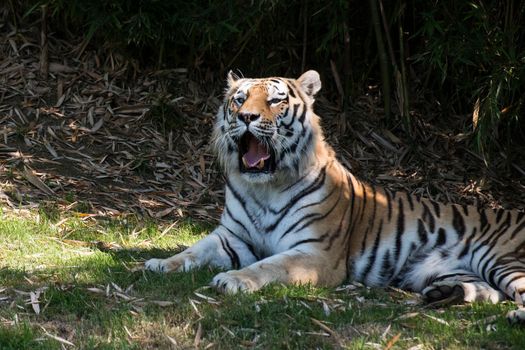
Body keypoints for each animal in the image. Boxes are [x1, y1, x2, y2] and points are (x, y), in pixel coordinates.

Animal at [145, 69, 524, 322]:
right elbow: (193, 251)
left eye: (275, 100)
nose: (246, 117)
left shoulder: (315, 253)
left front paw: (233, 280)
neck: (265, 187)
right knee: (488, 292)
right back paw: (443, 294)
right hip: (451, 271)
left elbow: (269, 265)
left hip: (501, 260)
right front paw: (159, 264)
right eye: (239, 99)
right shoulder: (231, 237)